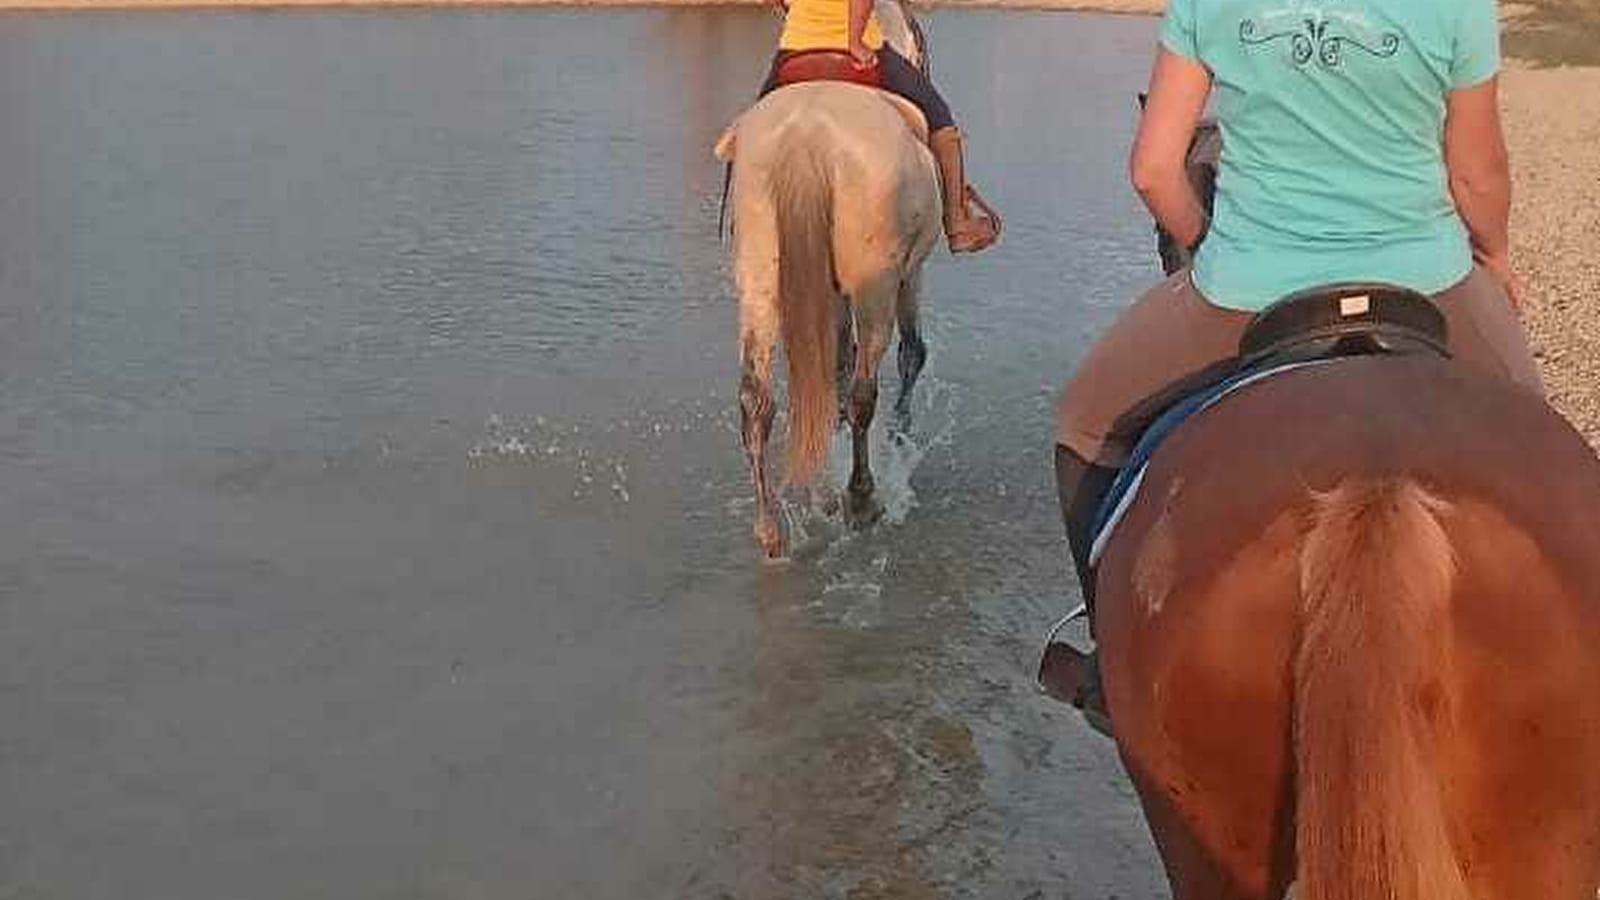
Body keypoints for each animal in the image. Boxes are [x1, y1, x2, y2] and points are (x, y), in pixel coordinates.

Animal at [713, 0, 934, 557]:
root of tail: (806, 134)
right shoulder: (910, 274)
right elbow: (910, 353)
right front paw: (900, 434)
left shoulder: (828, 291)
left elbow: (834, 360)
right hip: (876, 286)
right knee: (863, 392)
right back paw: (861, 498)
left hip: (762, 281)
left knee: (755, 398)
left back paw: (771, 528)